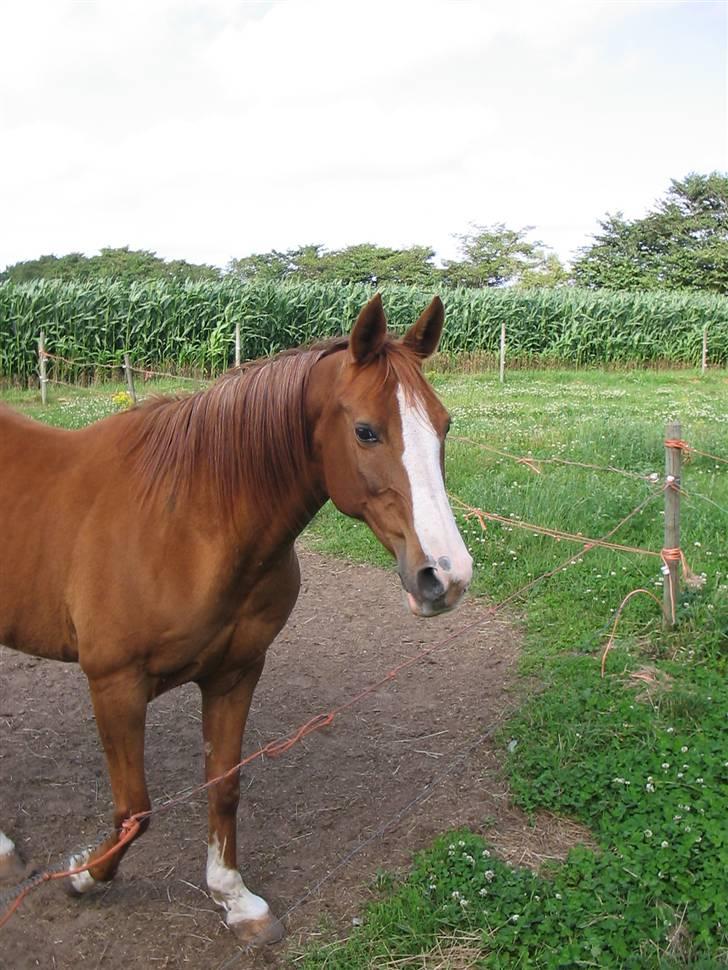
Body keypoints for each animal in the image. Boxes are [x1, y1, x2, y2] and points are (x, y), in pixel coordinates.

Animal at [0, 294, 472, 936]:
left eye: (443, 425)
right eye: (366, 431)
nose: (446, 576)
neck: (188, 523)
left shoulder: (236, 673)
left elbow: (224, 786)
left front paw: (233, 897)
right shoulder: (115, 685)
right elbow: (135, 810)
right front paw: (82, 875)